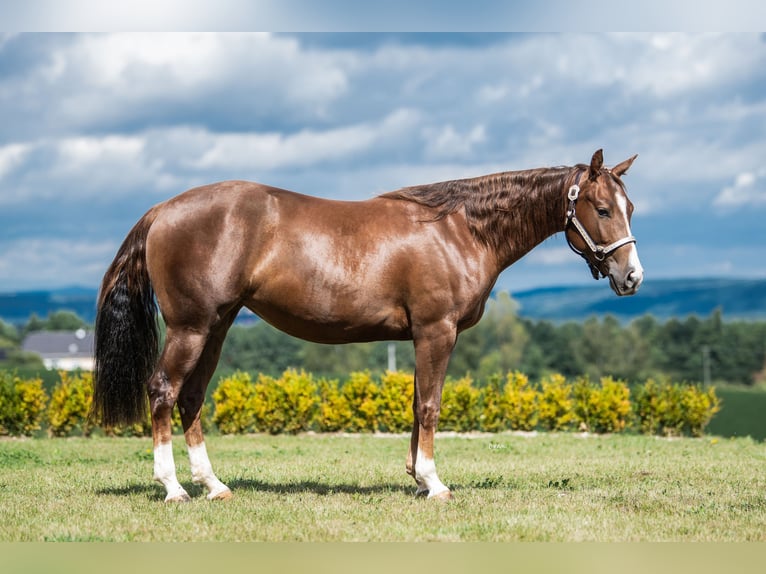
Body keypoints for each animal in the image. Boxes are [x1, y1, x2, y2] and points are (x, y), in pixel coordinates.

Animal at [92, 149, 643, 502]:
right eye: (601, 208)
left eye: (630, 207)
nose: (632, 276)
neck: (459, 230)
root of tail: (163, 210)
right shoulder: (436, 331)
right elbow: (430, 405)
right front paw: (435, 484)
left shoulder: (423, 336)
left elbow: (417, 405)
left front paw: (417, 477)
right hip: (191, 327)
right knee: (163, 391)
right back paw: (173, 489)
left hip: (217, 326)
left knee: (191, 397)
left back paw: (214, 486)